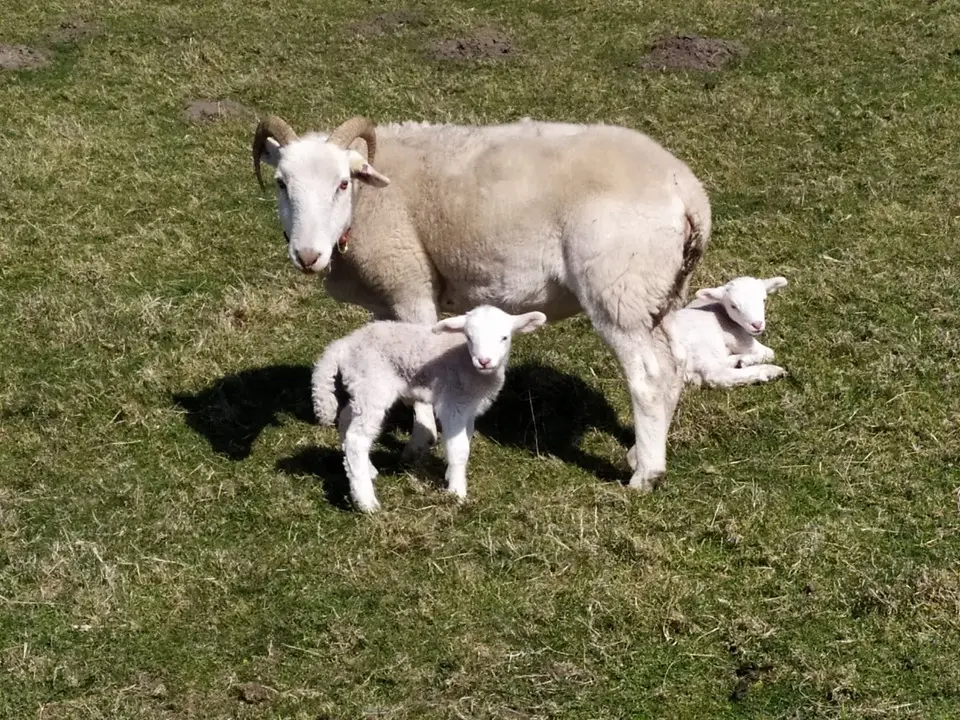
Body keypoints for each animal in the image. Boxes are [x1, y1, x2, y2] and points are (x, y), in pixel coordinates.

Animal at [253, 113, 712, 492]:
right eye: (281, 184)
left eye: (342, 183)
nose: (307, 256)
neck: (367, 203)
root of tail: (689, 192)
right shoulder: (384, 299)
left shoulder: (410, 282)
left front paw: (419, 443)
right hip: (662, 291)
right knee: (674, 365)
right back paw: (643, 451)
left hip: (619, 289)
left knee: (649, 377)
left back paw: (645, 475)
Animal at [311, 305, 547, 513]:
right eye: (469, 337)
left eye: (504, 337)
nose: (484, 361)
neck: (469, 366)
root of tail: (343, 345)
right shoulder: (453, 403)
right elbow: (459, 449)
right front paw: (457, 493)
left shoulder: (468, 408)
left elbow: (464, 440)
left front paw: (451, 475)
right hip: (373, 385)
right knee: (357, 438)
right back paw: (366, 502)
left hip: (360, 388)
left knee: (345, 419)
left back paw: (366, 470)